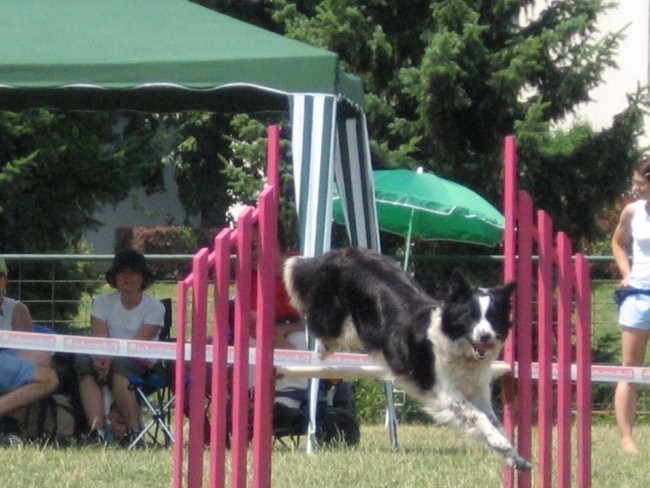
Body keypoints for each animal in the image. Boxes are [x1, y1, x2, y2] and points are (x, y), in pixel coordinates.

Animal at [284, 250, 532, 470]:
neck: (461, 352)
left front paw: (515, 457)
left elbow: (494, 420)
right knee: (319, 326)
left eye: (492, 317)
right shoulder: (445, 392)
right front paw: (499, 442)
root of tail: (343, 252)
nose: (485, 336)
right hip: (341, 320)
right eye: (470, 317)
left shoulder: (478, 390)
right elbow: (476, 415)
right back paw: (320, 351)